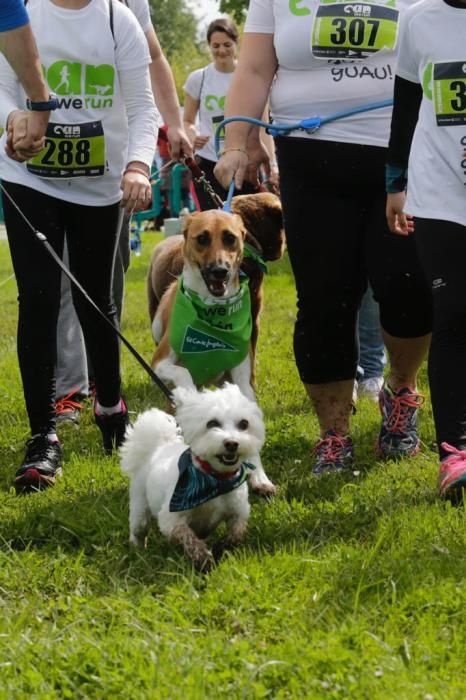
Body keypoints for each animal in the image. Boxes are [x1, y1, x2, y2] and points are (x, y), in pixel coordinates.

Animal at [120, 386, 266, 572]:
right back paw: (137, 549)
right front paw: (202, 558)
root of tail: (159, 446)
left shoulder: (239, 511)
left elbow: (237, 533)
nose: (232, 443)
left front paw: (224, 546)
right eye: (212, 423)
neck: (215, 480)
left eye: (244, 424)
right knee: (138, 529)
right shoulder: (171, 519)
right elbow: (187, 537)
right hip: (140, 506)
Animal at [147, 191, 284, 498]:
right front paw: (191, 397)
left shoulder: (243, 378)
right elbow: (183, 373)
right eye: (202, 238)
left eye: (230, 238)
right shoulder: (159, 362)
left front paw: (259, 477)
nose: (220, 271)